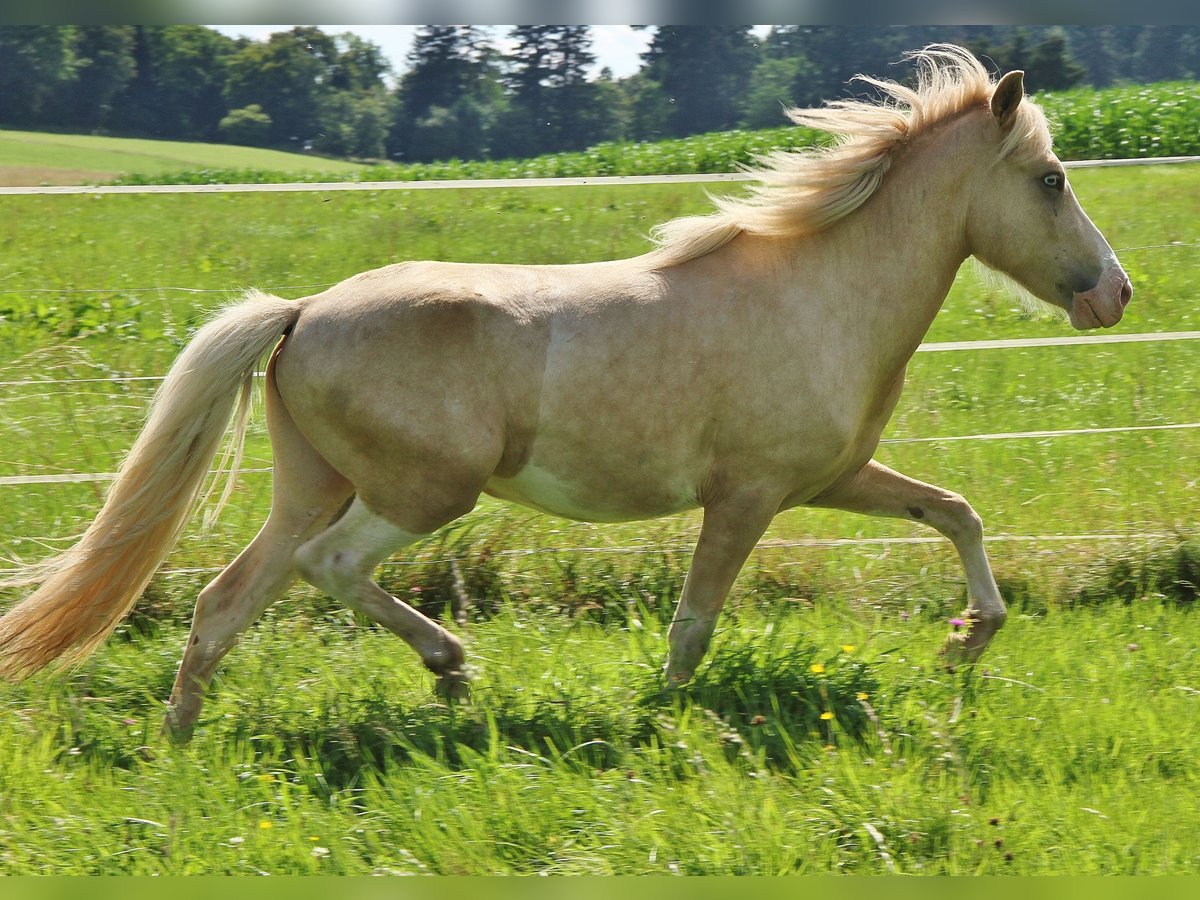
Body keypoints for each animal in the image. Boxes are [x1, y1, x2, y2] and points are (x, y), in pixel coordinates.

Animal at [0, 44, 1123, 748]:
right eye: (1053, 179)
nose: (1115, 294)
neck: (820, 294)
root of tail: (304, 310)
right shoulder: (748, 496)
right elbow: (693, 624)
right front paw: (659, 721)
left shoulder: (834, 478)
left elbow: (955, 512)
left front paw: (968, 637)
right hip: (419, 493)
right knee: (329, 570)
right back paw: (449, 664)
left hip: (310, 488)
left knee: (225, 602)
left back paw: (183, 739)